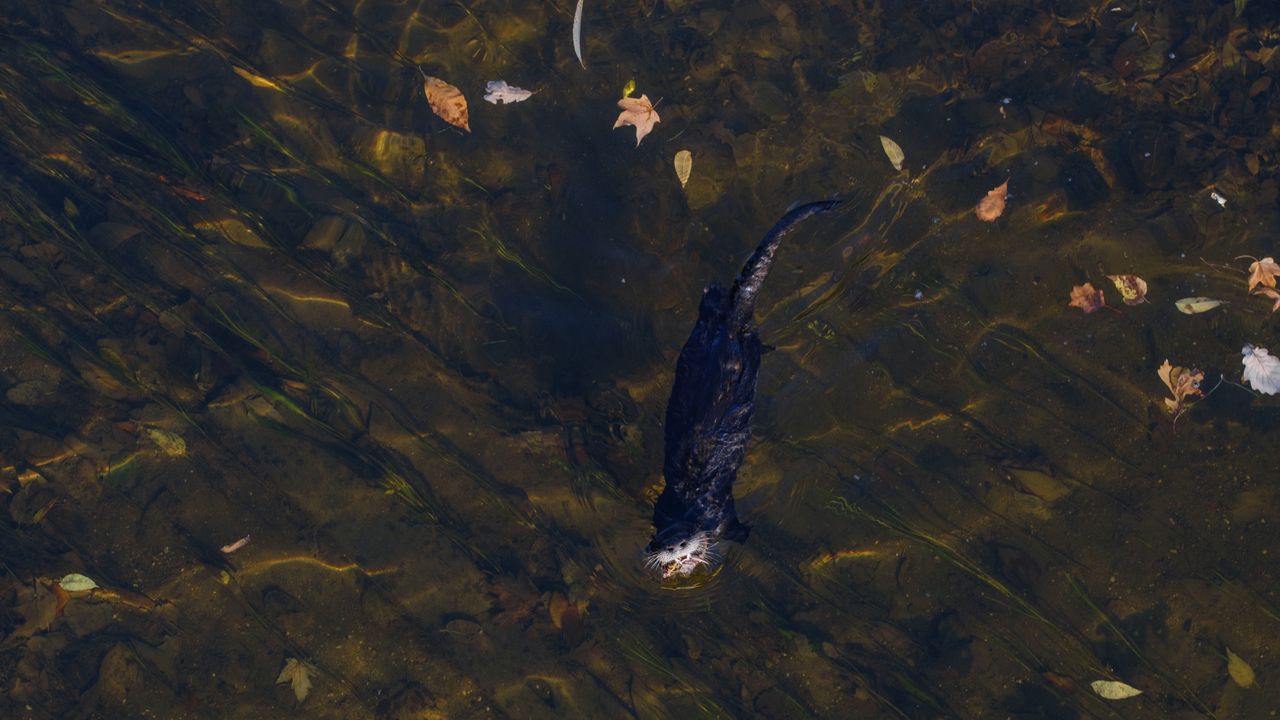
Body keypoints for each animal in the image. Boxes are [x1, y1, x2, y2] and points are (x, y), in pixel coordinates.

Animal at [646, 201, 838, 578]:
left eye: (684, 536)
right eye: (662, 538)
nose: (675, 546)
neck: (688, 505)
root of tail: (729, 322)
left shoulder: (720, 512)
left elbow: (733, 527)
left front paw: (744, 534)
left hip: (745, 347)